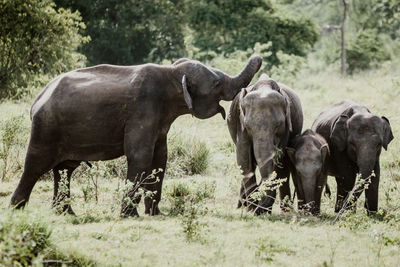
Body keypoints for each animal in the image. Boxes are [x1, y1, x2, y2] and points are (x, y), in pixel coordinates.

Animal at [10, 55, 262, 217]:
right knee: (36, 165)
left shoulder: (159, 119)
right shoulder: (143, 110)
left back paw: (66, 214)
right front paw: (130, 216)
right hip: (46, 127)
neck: (171, 73)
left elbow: (160, 159)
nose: (259, 58)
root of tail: (38, 97)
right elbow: (141, 156)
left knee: (65, 169)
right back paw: (16, 208)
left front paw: (155, 214)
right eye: (217, 83)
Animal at [228, 74, 304, 216]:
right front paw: (251, 207)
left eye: (278, 125)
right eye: (248, 126)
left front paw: (258, 207)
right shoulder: (241, 125)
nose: (258, 208)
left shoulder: (286, 129)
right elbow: (243, 157)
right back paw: (242, 205)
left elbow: (278, 160)